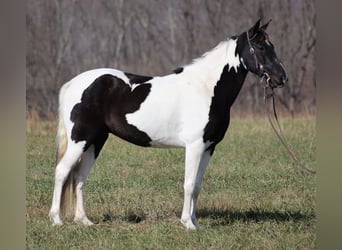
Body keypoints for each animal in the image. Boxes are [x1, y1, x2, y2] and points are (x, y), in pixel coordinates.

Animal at [48, 19, 288, 229]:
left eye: (273, 46)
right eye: (260, 47)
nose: (281, 78)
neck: (206, 88)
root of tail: (72, 83)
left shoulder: (209, 147)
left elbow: (198, 185)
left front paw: (196, 223)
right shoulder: (195, 146)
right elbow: (189, 184)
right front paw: (187, 223)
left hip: (95, 141)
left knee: (79, 177)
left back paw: (84, 221)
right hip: (80, 139)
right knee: (62, 172)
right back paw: (56, 220)